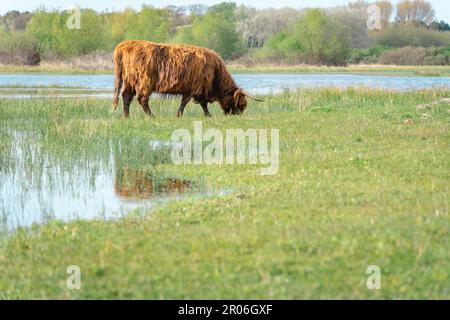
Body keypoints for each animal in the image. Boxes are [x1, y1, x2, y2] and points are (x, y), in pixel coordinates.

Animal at [110, 40, 262, 117]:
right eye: (241, 104)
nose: (237, 115)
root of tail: (126, 44)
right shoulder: (195, 87)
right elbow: (188, 102)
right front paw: (180, 114)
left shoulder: (197, 89)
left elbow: (200, 103)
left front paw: (206, 115)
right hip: (144, 81)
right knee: (142, 99)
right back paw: (152, 116)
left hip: (129, 81)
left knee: (126, 97)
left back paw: (126, 116)